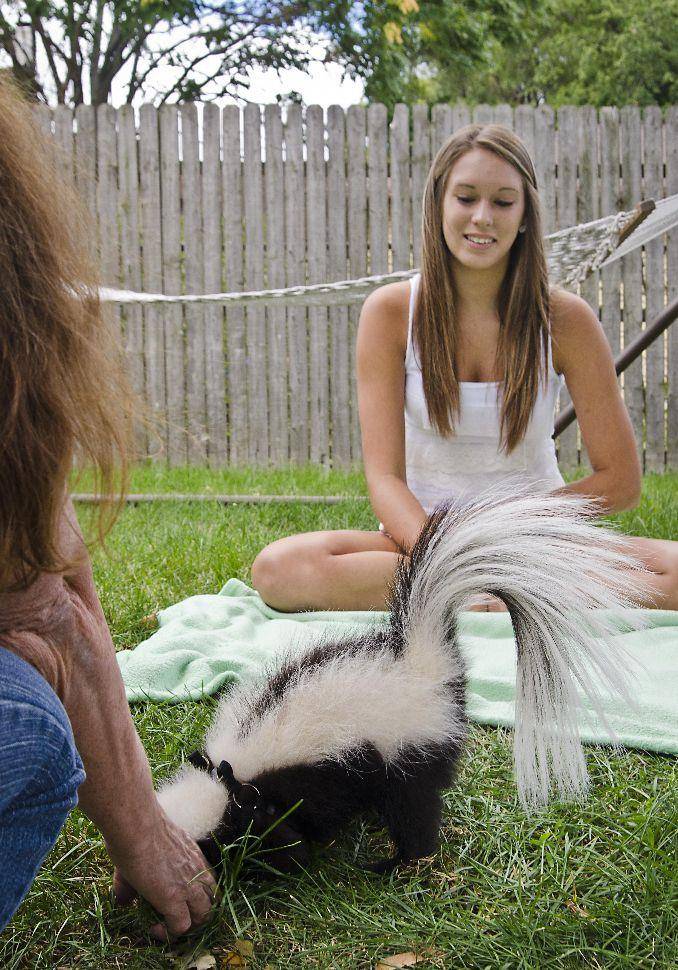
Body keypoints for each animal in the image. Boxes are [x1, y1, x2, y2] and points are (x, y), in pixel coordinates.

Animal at [158, 488, 644, 872]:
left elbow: (284, 839)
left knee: (414, 811)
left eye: (205, 844)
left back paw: (397, 863)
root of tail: (423, 661)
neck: (226, 776)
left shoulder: (271, 797)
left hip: (406, 749)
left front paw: (283, 863)